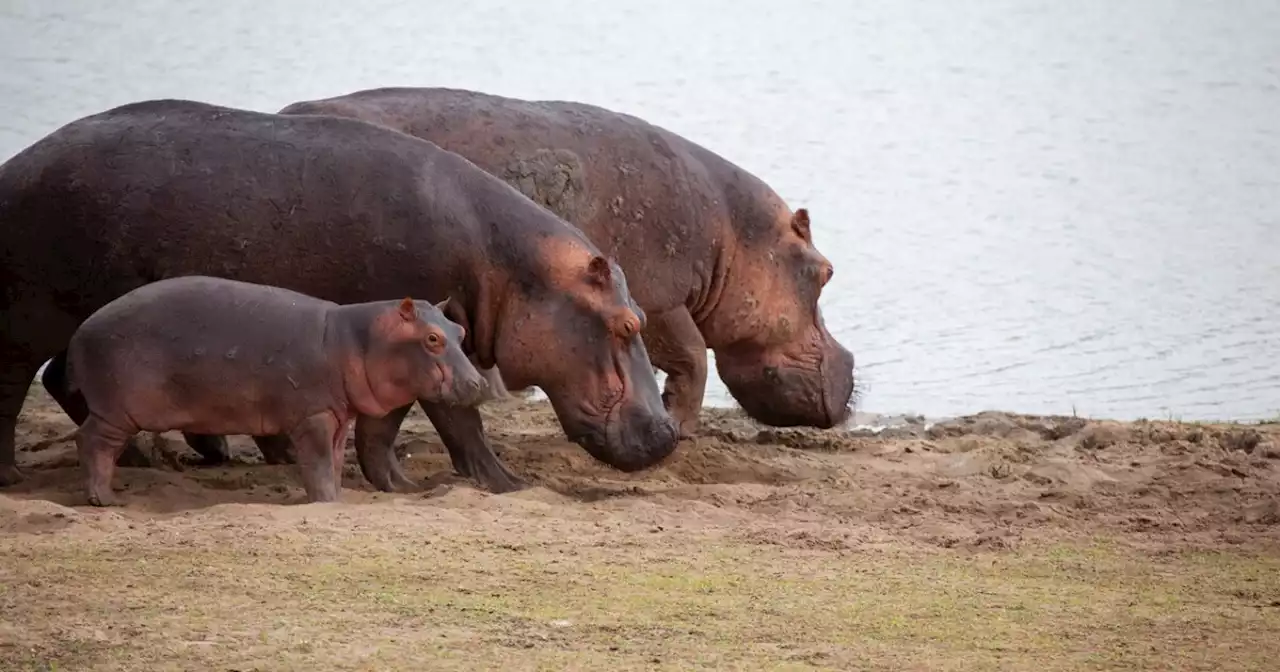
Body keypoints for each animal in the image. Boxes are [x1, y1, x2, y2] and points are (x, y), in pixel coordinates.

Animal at [0, 96, 680, 488]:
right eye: (627, 324)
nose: (669, 434)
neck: (509, 264)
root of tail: (17, 163)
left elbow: (403, 424)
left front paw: (401, 484)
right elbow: (453, 420)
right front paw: (504, 484)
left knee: (63, 379)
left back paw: (145, 461)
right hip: (29, 313)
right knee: (13, 385)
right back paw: (14, 477)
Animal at [281, 85, 860, 440]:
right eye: (826, 271)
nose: (852, 365)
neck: (736, 235)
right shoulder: (659, 298)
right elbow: (693, 357)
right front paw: (681, 426)